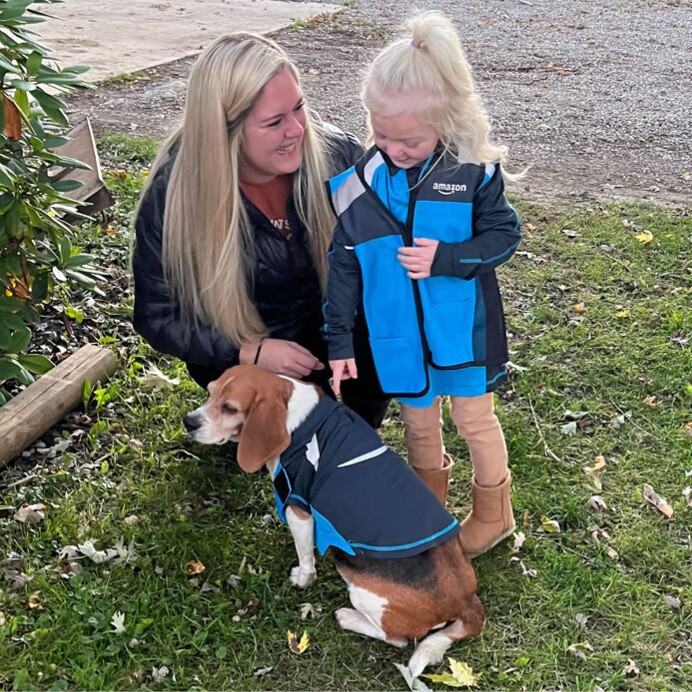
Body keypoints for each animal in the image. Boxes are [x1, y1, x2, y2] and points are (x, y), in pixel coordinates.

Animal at [184, 364, 486, 680]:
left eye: (230, 408)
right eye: (210, 392)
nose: (188, 422)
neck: (297, 418)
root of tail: (466, 600)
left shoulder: (299, 510)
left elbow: (305, 557)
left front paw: (302, 580)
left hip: (363, 593)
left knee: (397, 638)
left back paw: (348, 618)